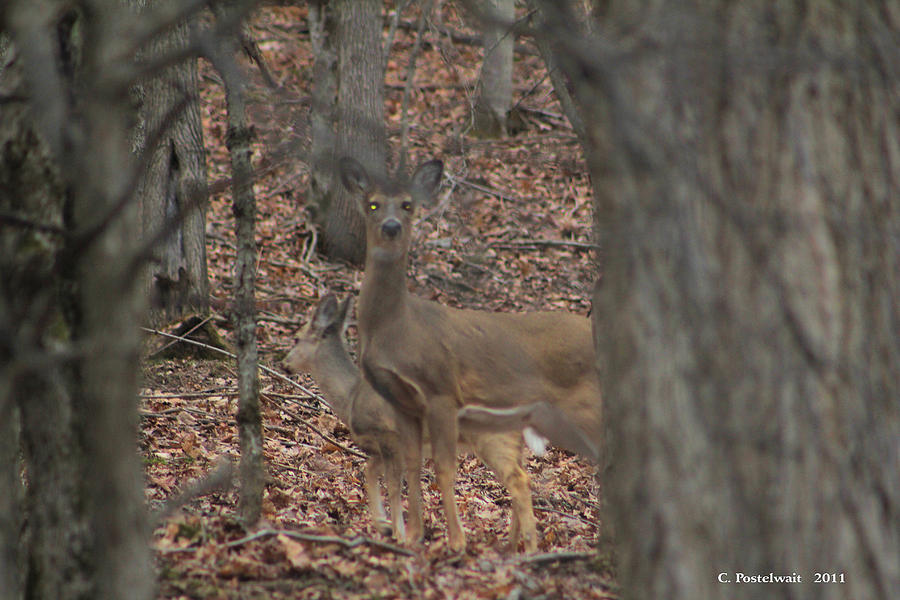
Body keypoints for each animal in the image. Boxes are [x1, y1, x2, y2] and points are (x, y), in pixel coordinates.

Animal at [282, 292, 536, 552]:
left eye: (296, 338)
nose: (284, 364)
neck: (352, 396)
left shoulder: (387, 434)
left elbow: (393, 484)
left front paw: (399, 533)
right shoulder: (389, 446)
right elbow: (370, 470)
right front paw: (384, 525)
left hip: (493, 437)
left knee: (519, 480)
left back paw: (527, 546)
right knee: (521, 479)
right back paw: (511, 544)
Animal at [342, 156, 600, 552]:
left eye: (407, 205)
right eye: (372, 204)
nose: (391, 227)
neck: (395, 328)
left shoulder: (441, 391)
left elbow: (444, 469)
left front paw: (456, 541)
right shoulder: (401, 401)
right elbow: (412, 465)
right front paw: (413, 536)